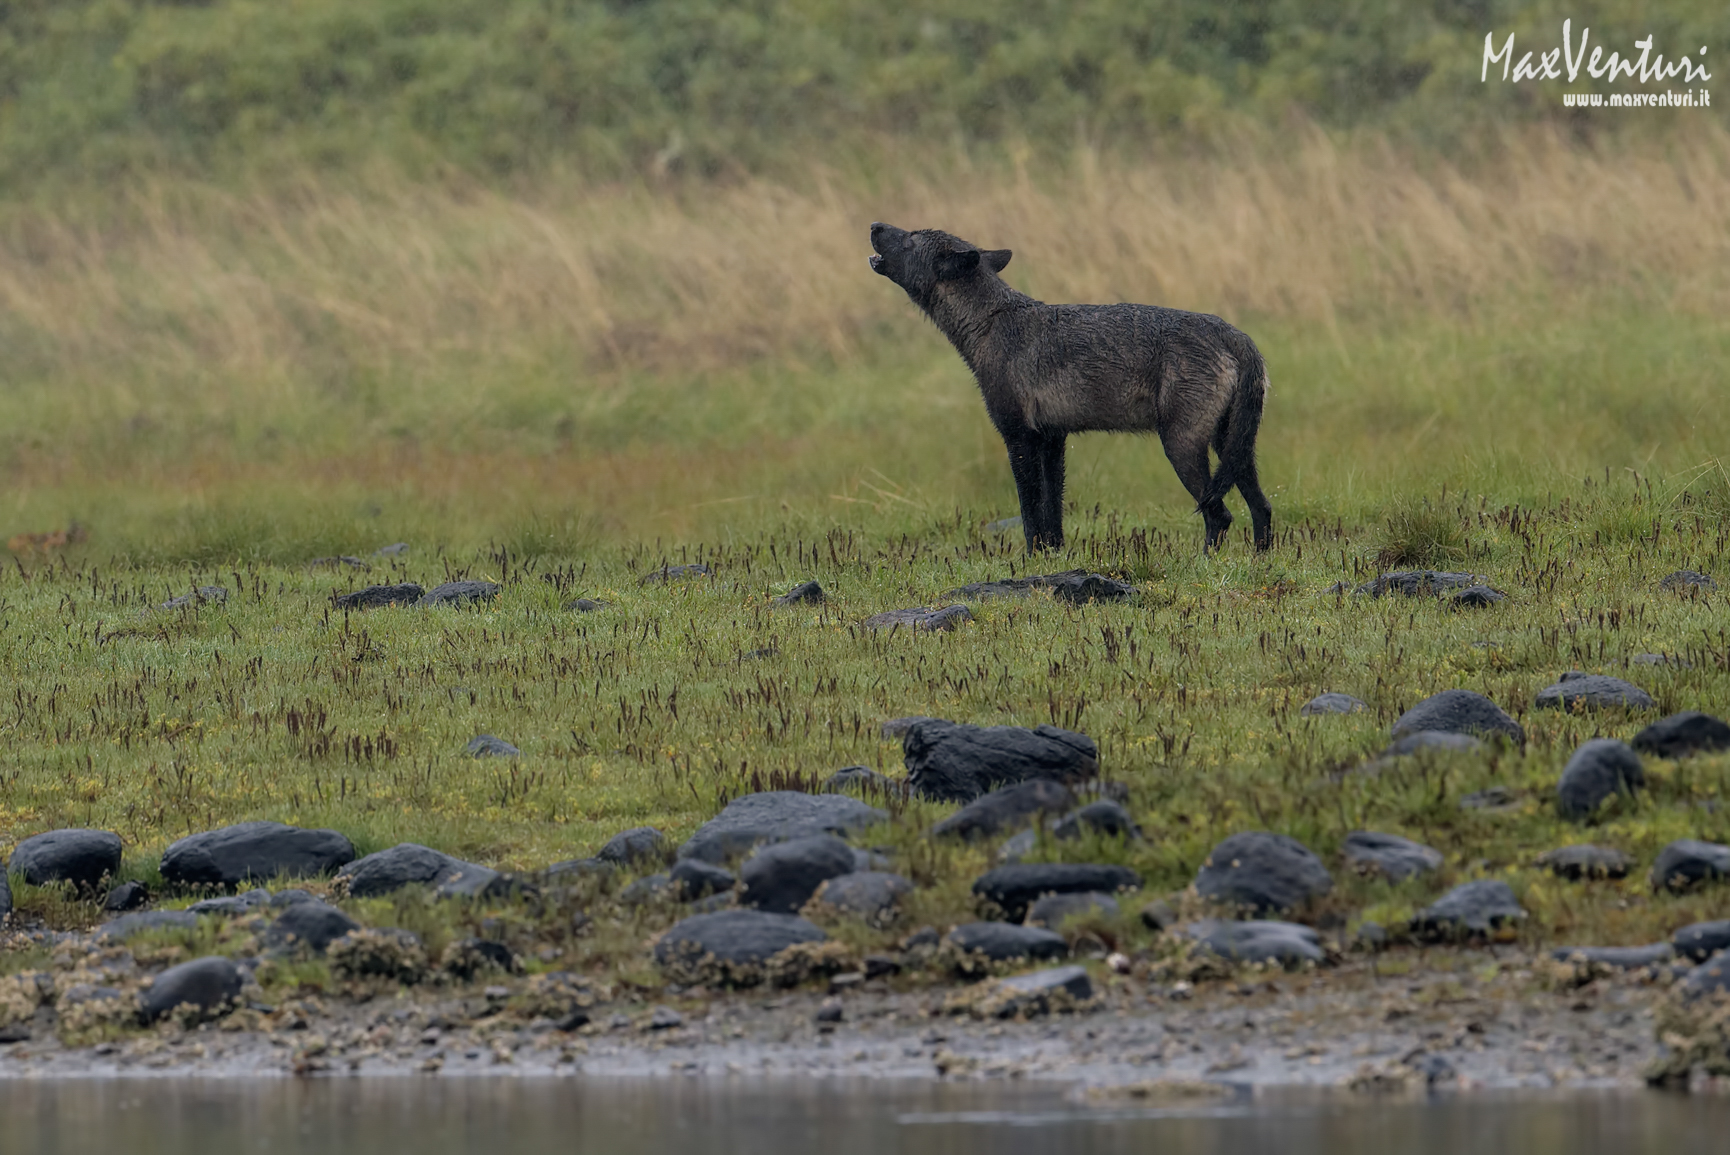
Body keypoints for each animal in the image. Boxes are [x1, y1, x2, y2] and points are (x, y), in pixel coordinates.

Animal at [868, 222, 1272, 553]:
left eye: (910, 238)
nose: (874, 224)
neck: (990, 324)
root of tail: (1234, 334)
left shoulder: (1019, 438)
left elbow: (1030, 512)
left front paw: (1032, 560)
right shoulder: (1052, 439)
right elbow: (1053, 514)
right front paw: (1054, 556)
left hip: (1182, 447)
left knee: (1220, 515)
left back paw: (1205, 562)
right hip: (1232, 449)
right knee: (1262, 508)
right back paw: (1260, 559)